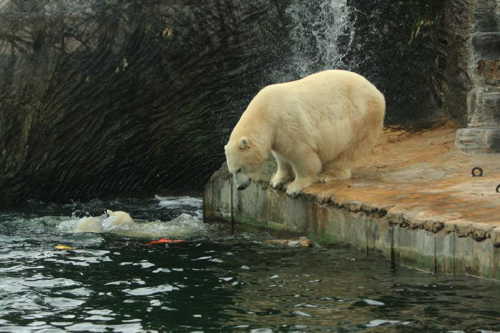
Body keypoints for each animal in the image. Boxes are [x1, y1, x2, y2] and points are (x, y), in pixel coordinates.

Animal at [225, 68, 384, 196]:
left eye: (239, 169)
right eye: (231, 171)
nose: (239, 187)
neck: (266, 114)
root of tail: (377, 91)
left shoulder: (287, 123)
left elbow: (300, 154)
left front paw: (294, 187)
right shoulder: (276, 135)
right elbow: (281, 157)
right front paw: (276, 180)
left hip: (361, 117)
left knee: (349, 150)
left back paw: (328, 175)